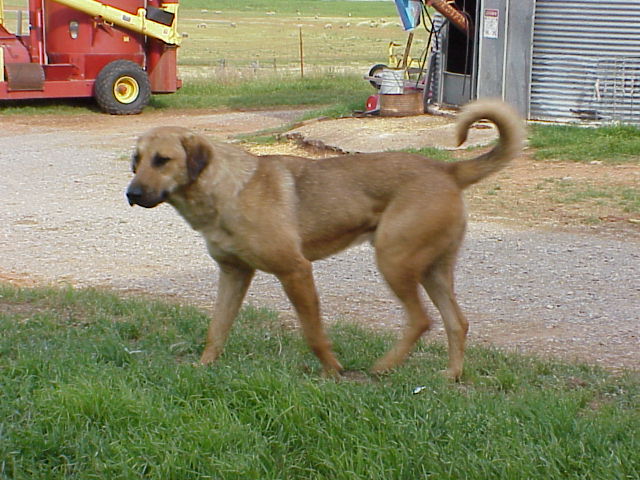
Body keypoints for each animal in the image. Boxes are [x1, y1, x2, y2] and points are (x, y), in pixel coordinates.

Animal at [127, 100, 524, 378]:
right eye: (136, 160)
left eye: (162, 160)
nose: (131, 194)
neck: (226, 189)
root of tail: (447, 169)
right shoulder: (234, 273)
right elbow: (217, 328)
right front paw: (204, 367)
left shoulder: (295, 271)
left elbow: (314, 333)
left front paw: (333, 371)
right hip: (432, 270)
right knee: (457, 322)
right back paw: (451, 375)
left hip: (394, 260)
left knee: (420, 320)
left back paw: (383, 367)